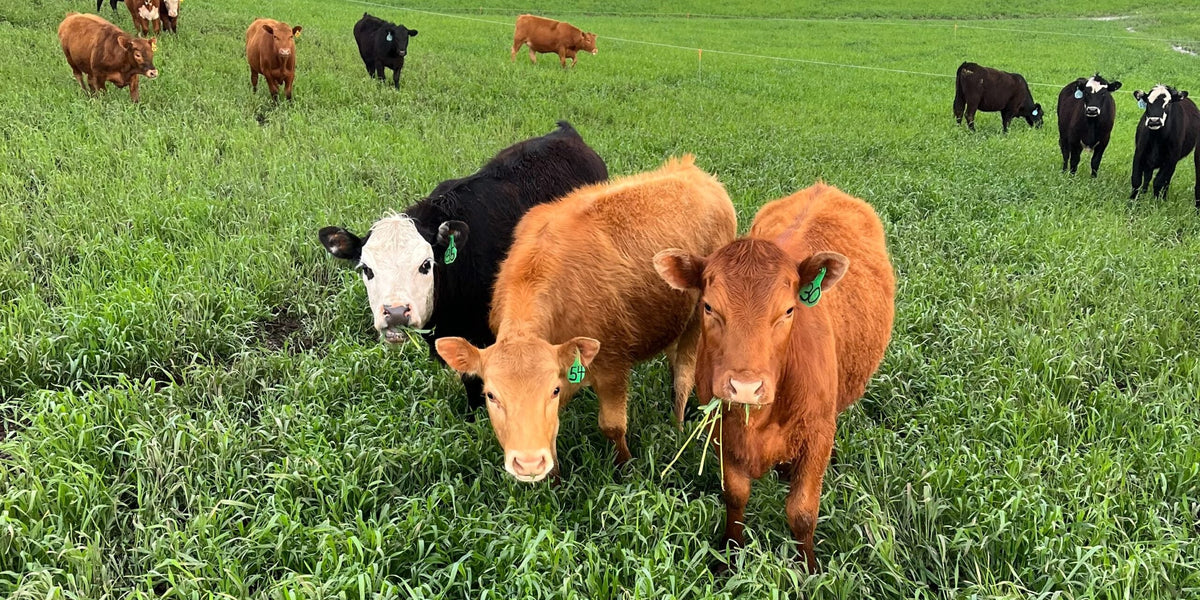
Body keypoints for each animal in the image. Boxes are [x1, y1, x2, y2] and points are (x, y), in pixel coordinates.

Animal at [435, 155, 737, 483]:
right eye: (491, 395)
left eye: (551, 390)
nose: (528, 464)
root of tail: (693, 172)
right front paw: (554, 480)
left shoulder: (613, 366)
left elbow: (613, 426)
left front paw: (624, 467)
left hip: (697, 321)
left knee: (683, 375)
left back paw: (678, 426)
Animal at [654, 183, 895, 573]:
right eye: (709, 307)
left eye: (788, 310)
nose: (745, 387)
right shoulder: (722, 430)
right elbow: (734, 496)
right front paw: (730, 556)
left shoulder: (818, 435)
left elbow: (802, 512)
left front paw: (809, 569)